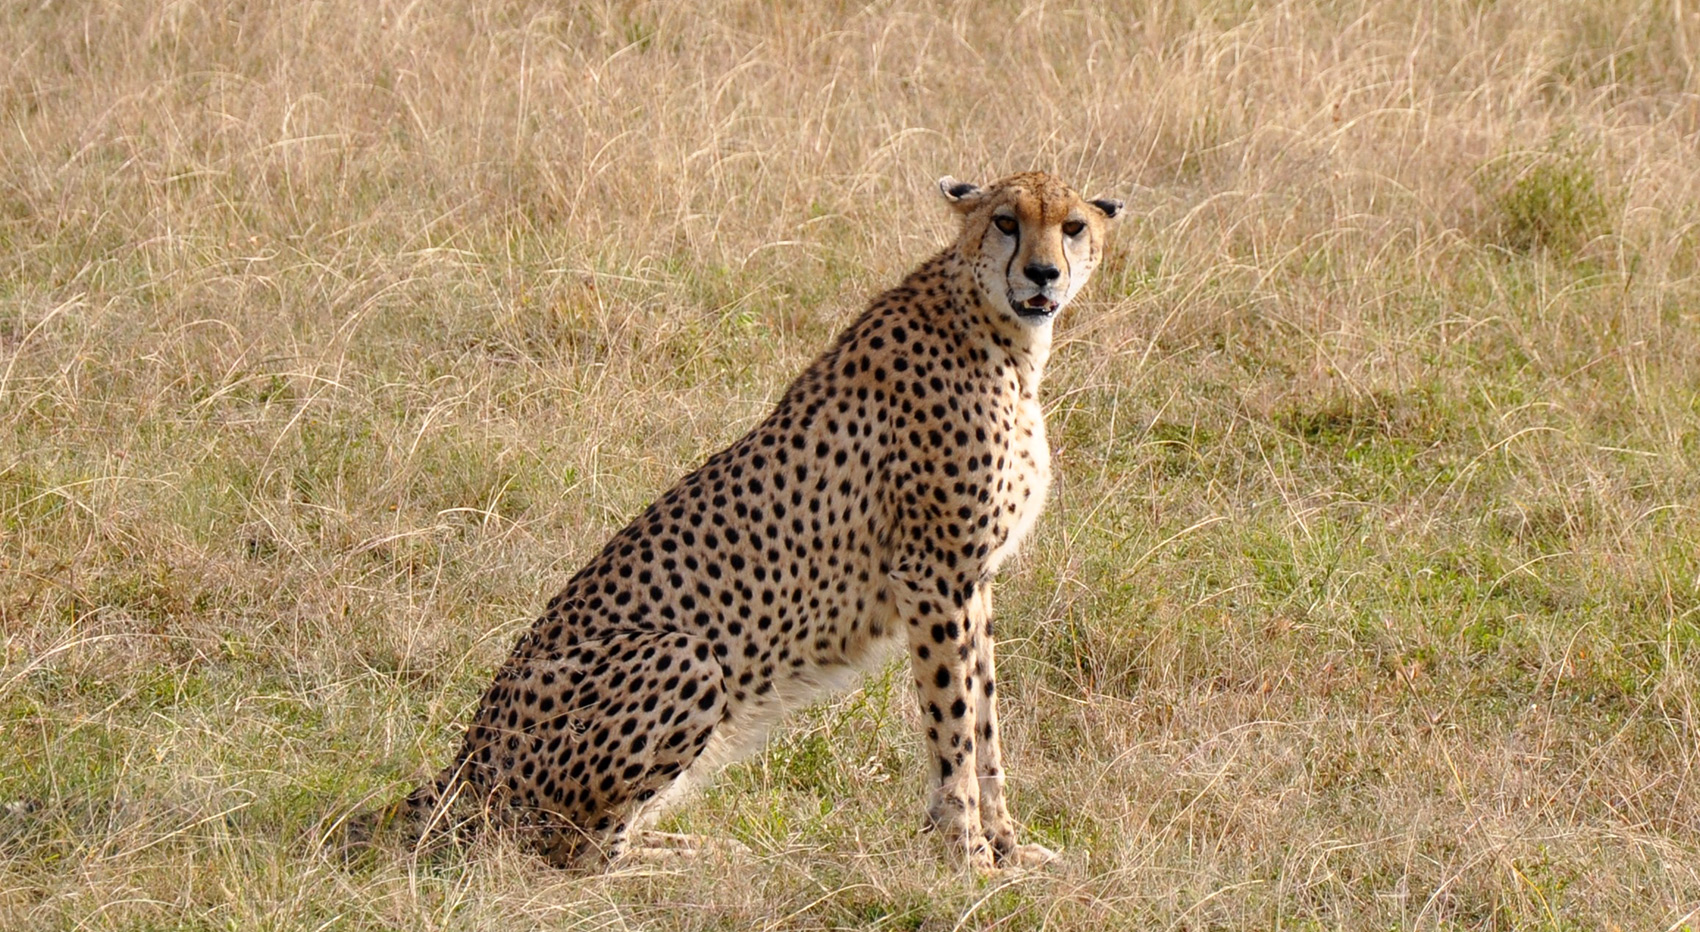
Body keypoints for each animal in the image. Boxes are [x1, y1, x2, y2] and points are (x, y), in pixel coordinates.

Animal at [370, 171, 1123, 873]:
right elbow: (954, 727)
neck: (1000, 333)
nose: (1043, 273)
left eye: (1073, 226)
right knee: (576, 855)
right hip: (685, 658)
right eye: (1005, 221)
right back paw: (700, 860)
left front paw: (1009, 848)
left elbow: (986, 720)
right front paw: (966, 855)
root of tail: (463, 764)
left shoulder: (974, 581)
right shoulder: (933, 575)